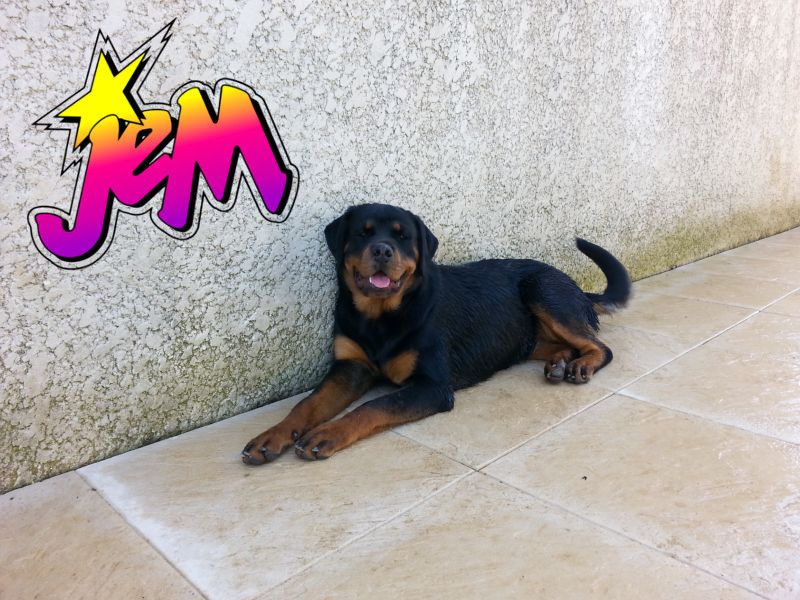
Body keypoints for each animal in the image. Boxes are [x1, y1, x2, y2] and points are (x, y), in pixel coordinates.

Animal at [241, 203, 631, 464]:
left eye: (403, 237)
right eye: (362, 233)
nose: (382, 250)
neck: (380, 317)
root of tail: (578, 288)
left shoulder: (432, 386)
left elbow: (373, 406)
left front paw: (327, 433)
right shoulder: (350, 368)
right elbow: (307, 404)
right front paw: (272, 435)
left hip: (542, 289)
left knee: (601, 347)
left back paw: (580, 365)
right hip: (526, 337)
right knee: (560, 344)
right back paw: (560, 363)